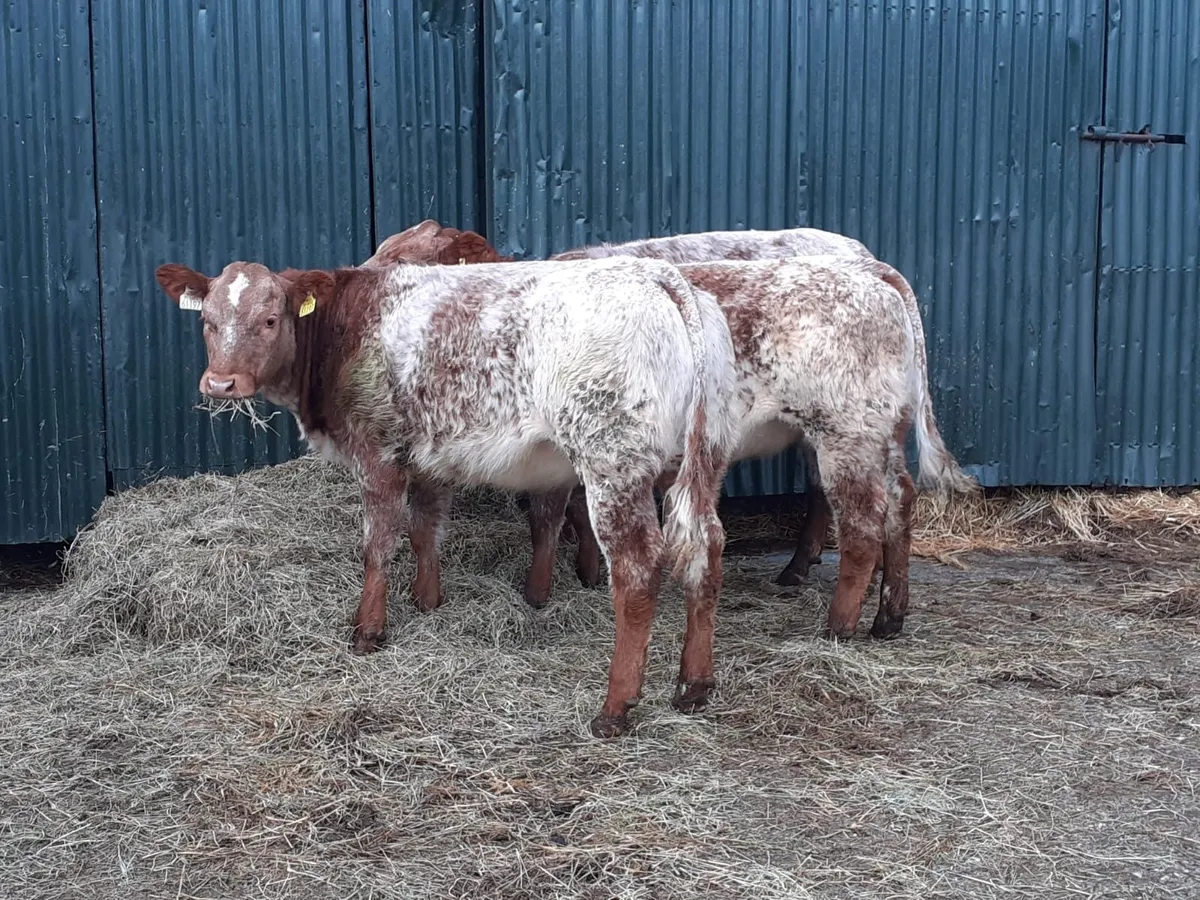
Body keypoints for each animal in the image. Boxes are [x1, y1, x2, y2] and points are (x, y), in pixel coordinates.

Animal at [155, 254, 739, 739]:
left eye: (271, 319)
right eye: (208, 321)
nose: (221, 384)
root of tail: (657, 276)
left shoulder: (377, 452)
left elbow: (378, 544)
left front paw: (368, 631)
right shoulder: (427, 458)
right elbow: (425, 530)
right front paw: (428, 601)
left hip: (613, 461)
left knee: (638, 568)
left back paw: (615, 708)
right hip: (703, 454)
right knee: (706, 547)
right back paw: (694, 686)